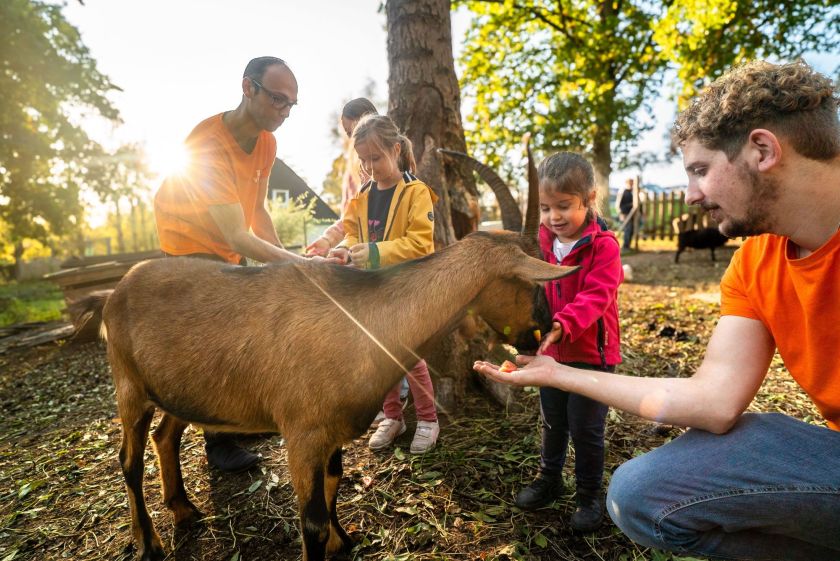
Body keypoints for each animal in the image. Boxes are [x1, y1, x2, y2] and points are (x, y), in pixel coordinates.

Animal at [74, 230, 576, 556]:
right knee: (128, 460)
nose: (544, 334)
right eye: (535, 286)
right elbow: (311, 521)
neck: (365, 322)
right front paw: (329, 540)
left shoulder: (332, 430)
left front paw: (343, 541)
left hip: (180, 389)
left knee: (165, 437)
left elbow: (334, 481)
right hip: (128, 384)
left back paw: (181, 508)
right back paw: (148, 542)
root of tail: (113, 292)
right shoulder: (302, 433)